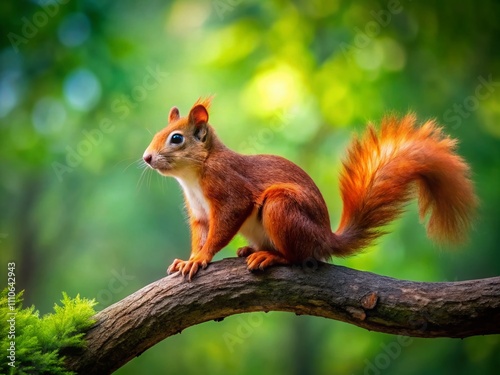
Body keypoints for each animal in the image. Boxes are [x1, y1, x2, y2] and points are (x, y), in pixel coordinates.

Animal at [143, 98, 478, 280]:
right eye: (158, 133)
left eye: (176, 139)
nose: (146, 157)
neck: (193, 176)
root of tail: (325, 238)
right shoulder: (199, 213)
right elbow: (201, 233)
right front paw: (189, 258)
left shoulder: (229, 189)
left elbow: (222, 227)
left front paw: (200, 258)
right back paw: (252, 249)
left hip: (281, 207)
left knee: (298, 256)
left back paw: (271, 257)